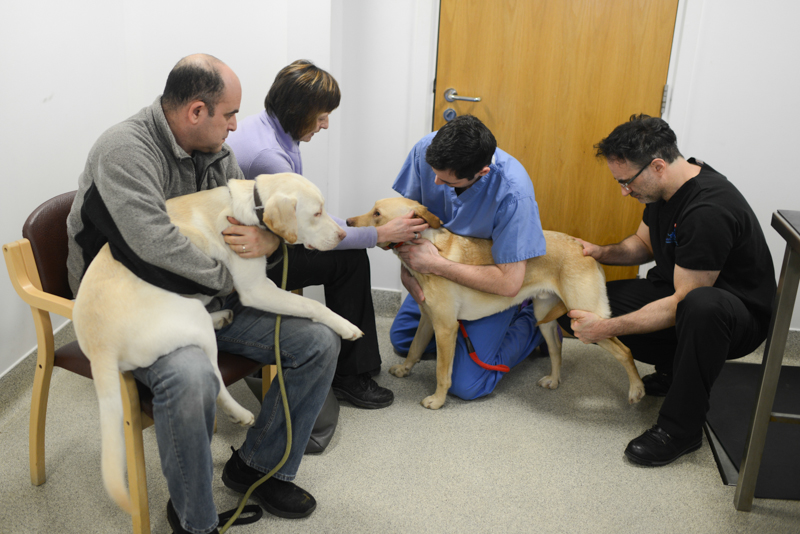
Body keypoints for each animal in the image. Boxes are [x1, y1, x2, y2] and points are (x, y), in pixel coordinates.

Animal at [75, 173, 362, 516]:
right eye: (317, 213)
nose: (343, 234)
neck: (250, 205)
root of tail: (99, 347)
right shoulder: (256, 288)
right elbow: (312, 306)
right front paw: (345, 326)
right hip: (192, 319)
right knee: (214, 379)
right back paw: (238, 411)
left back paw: (222, 316)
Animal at [346, 199, 648, 412]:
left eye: (377, 213)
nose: (347, 221)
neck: (426, 247)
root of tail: (585, 249)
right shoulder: (428, 320)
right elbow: (414, 349)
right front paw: (405, 369)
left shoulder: (446, 328)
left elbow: (442, 372)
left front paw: (438, 400)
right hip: (545, 315)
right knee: (556, 347)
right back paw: (553, 379)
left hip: (587, 320)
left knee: (625, 351)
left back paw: (636, 390)